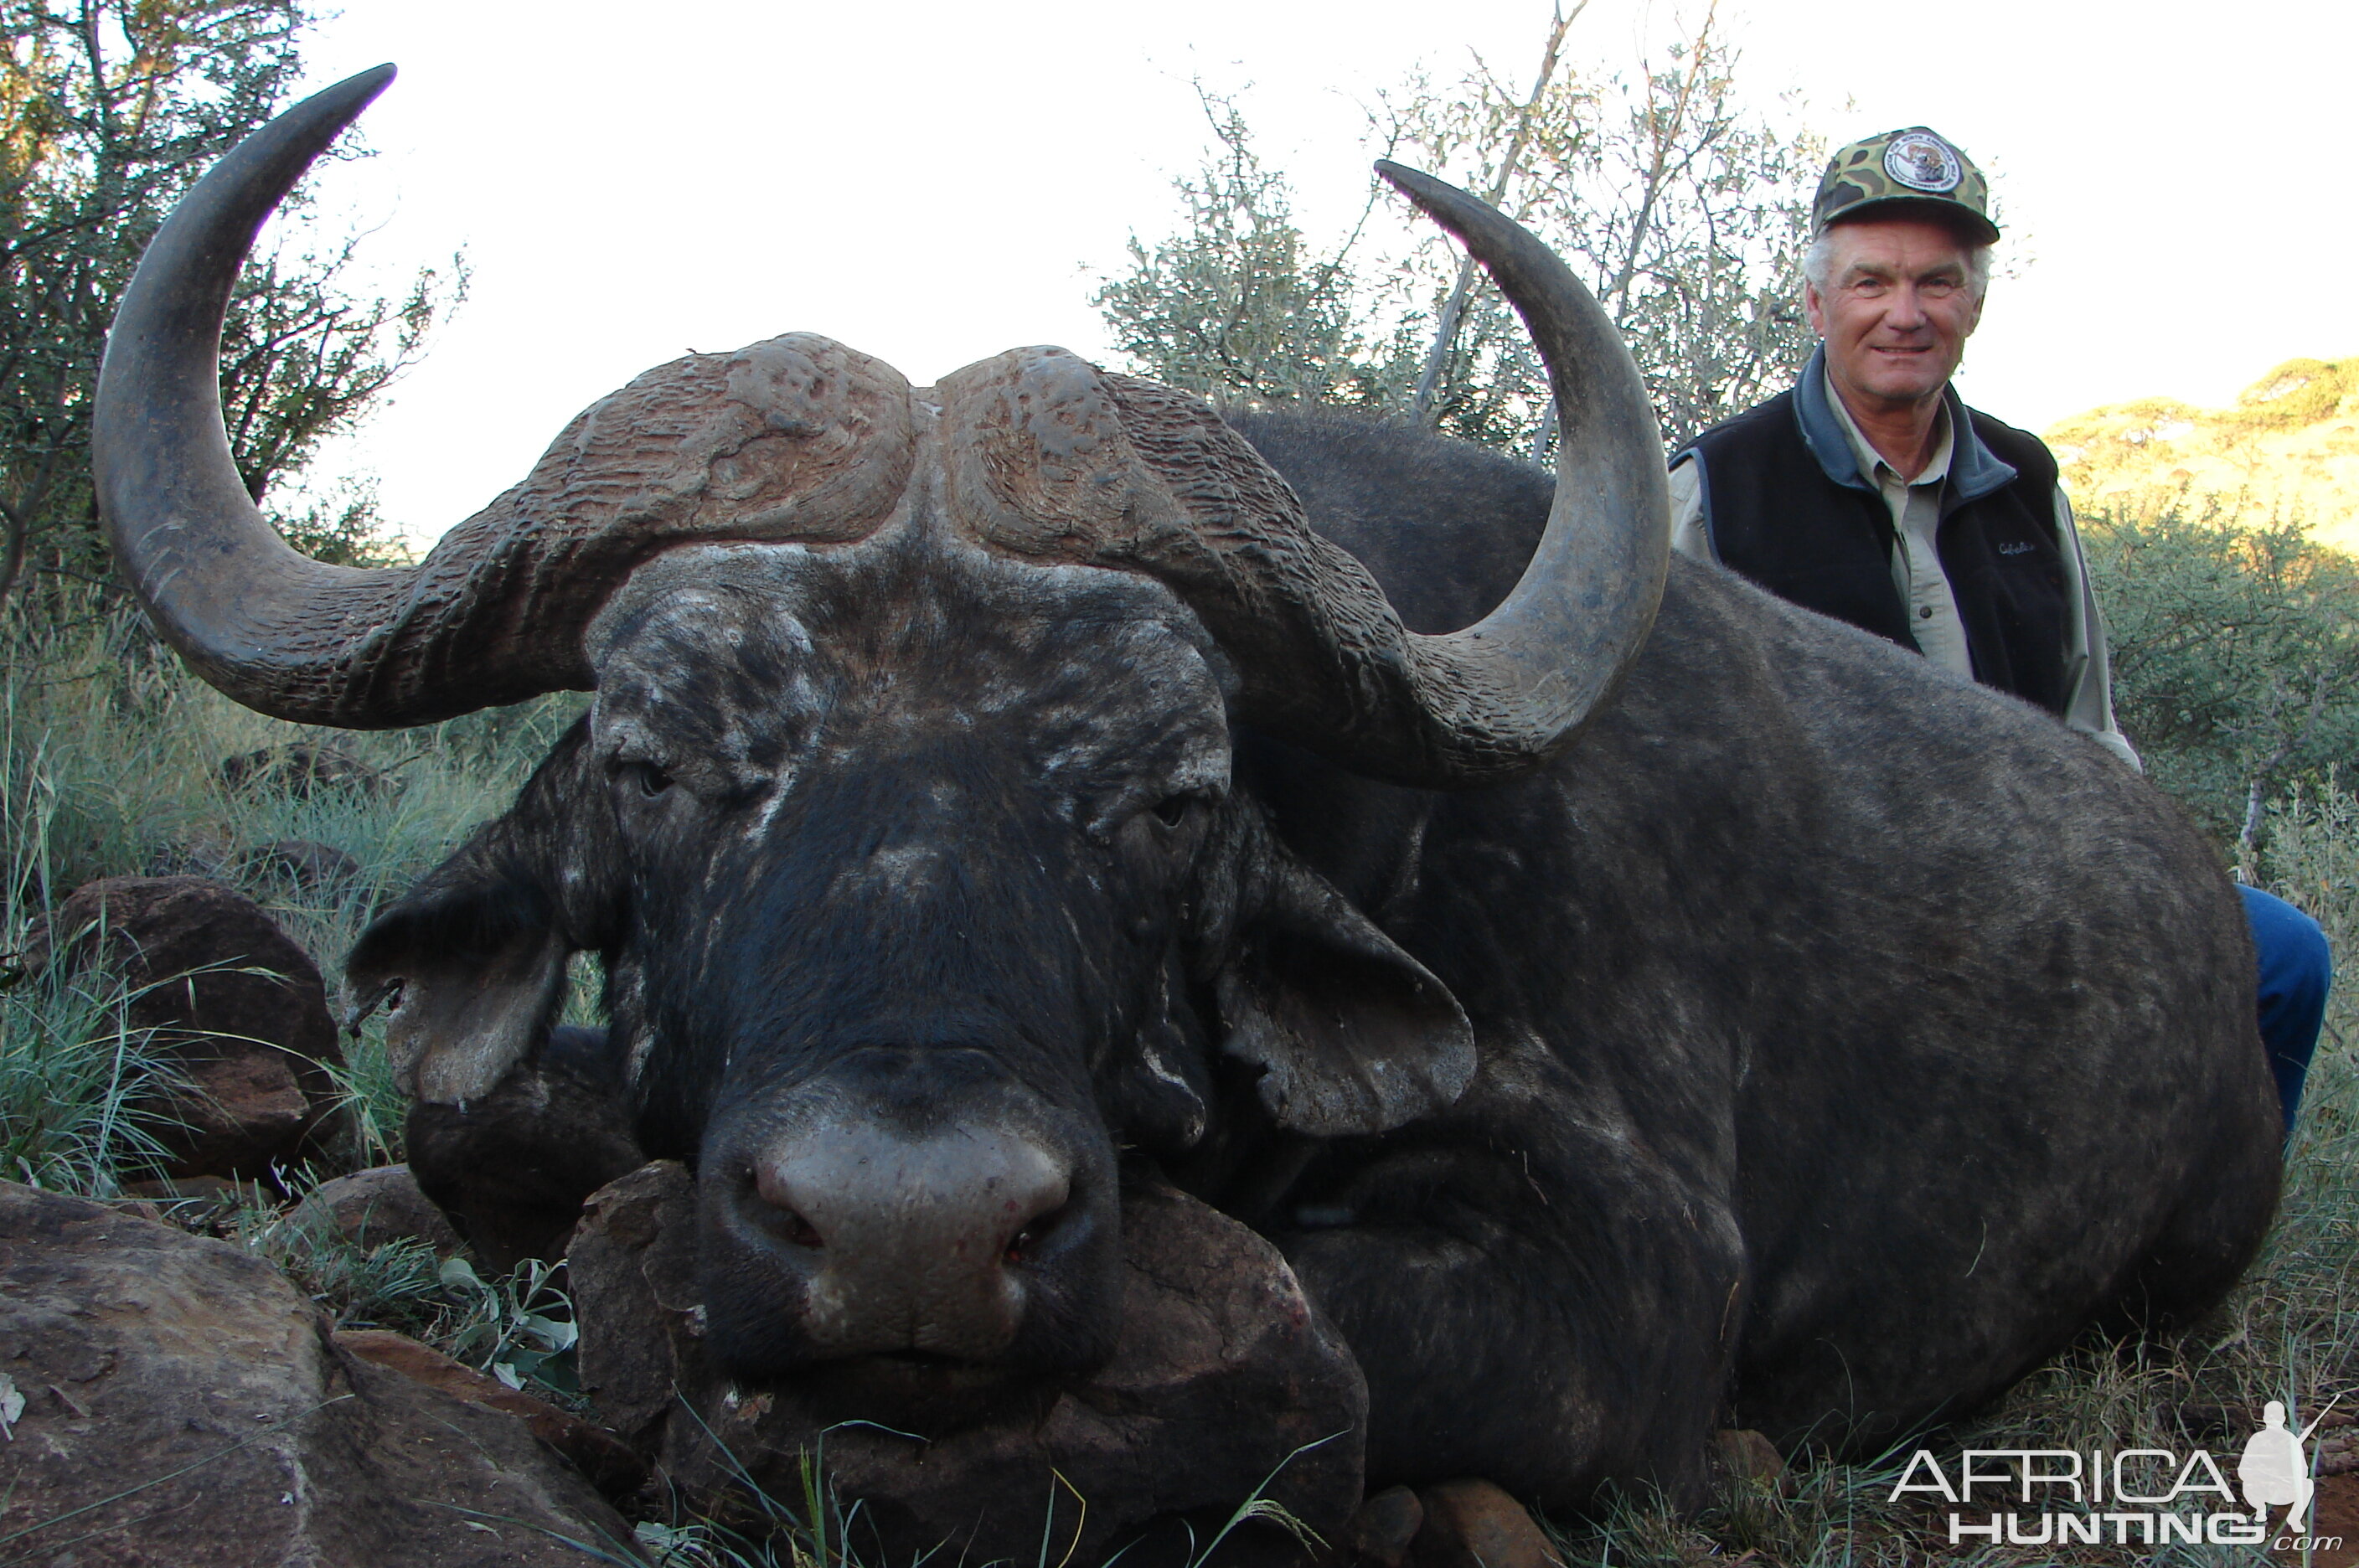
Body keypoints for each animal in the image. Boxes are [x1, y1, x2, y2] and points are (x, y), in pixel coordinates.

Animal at [96, 70, 2283, 1509]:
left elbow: (1311, 1345)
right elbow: (475, 1125)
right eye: (655, 763)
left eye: (1168, 792)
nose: (909, 1231)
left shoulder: (1621, 1277)